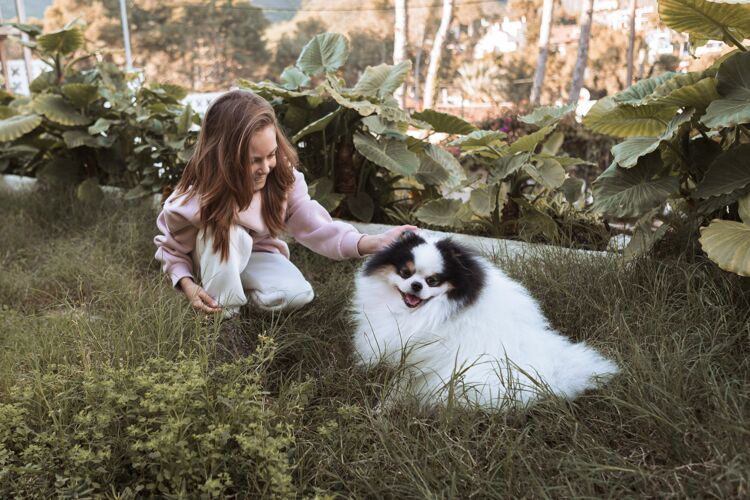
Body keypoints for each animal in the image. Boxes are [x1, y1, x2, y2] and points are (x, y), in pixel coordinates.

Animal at [354, 232, 624, 408]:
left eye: (433, 281)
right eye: (405, 273)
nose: (416, 285)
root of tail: (551, 374)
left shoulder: (420, 359)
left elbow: (398, 387)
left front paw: (381, 411)